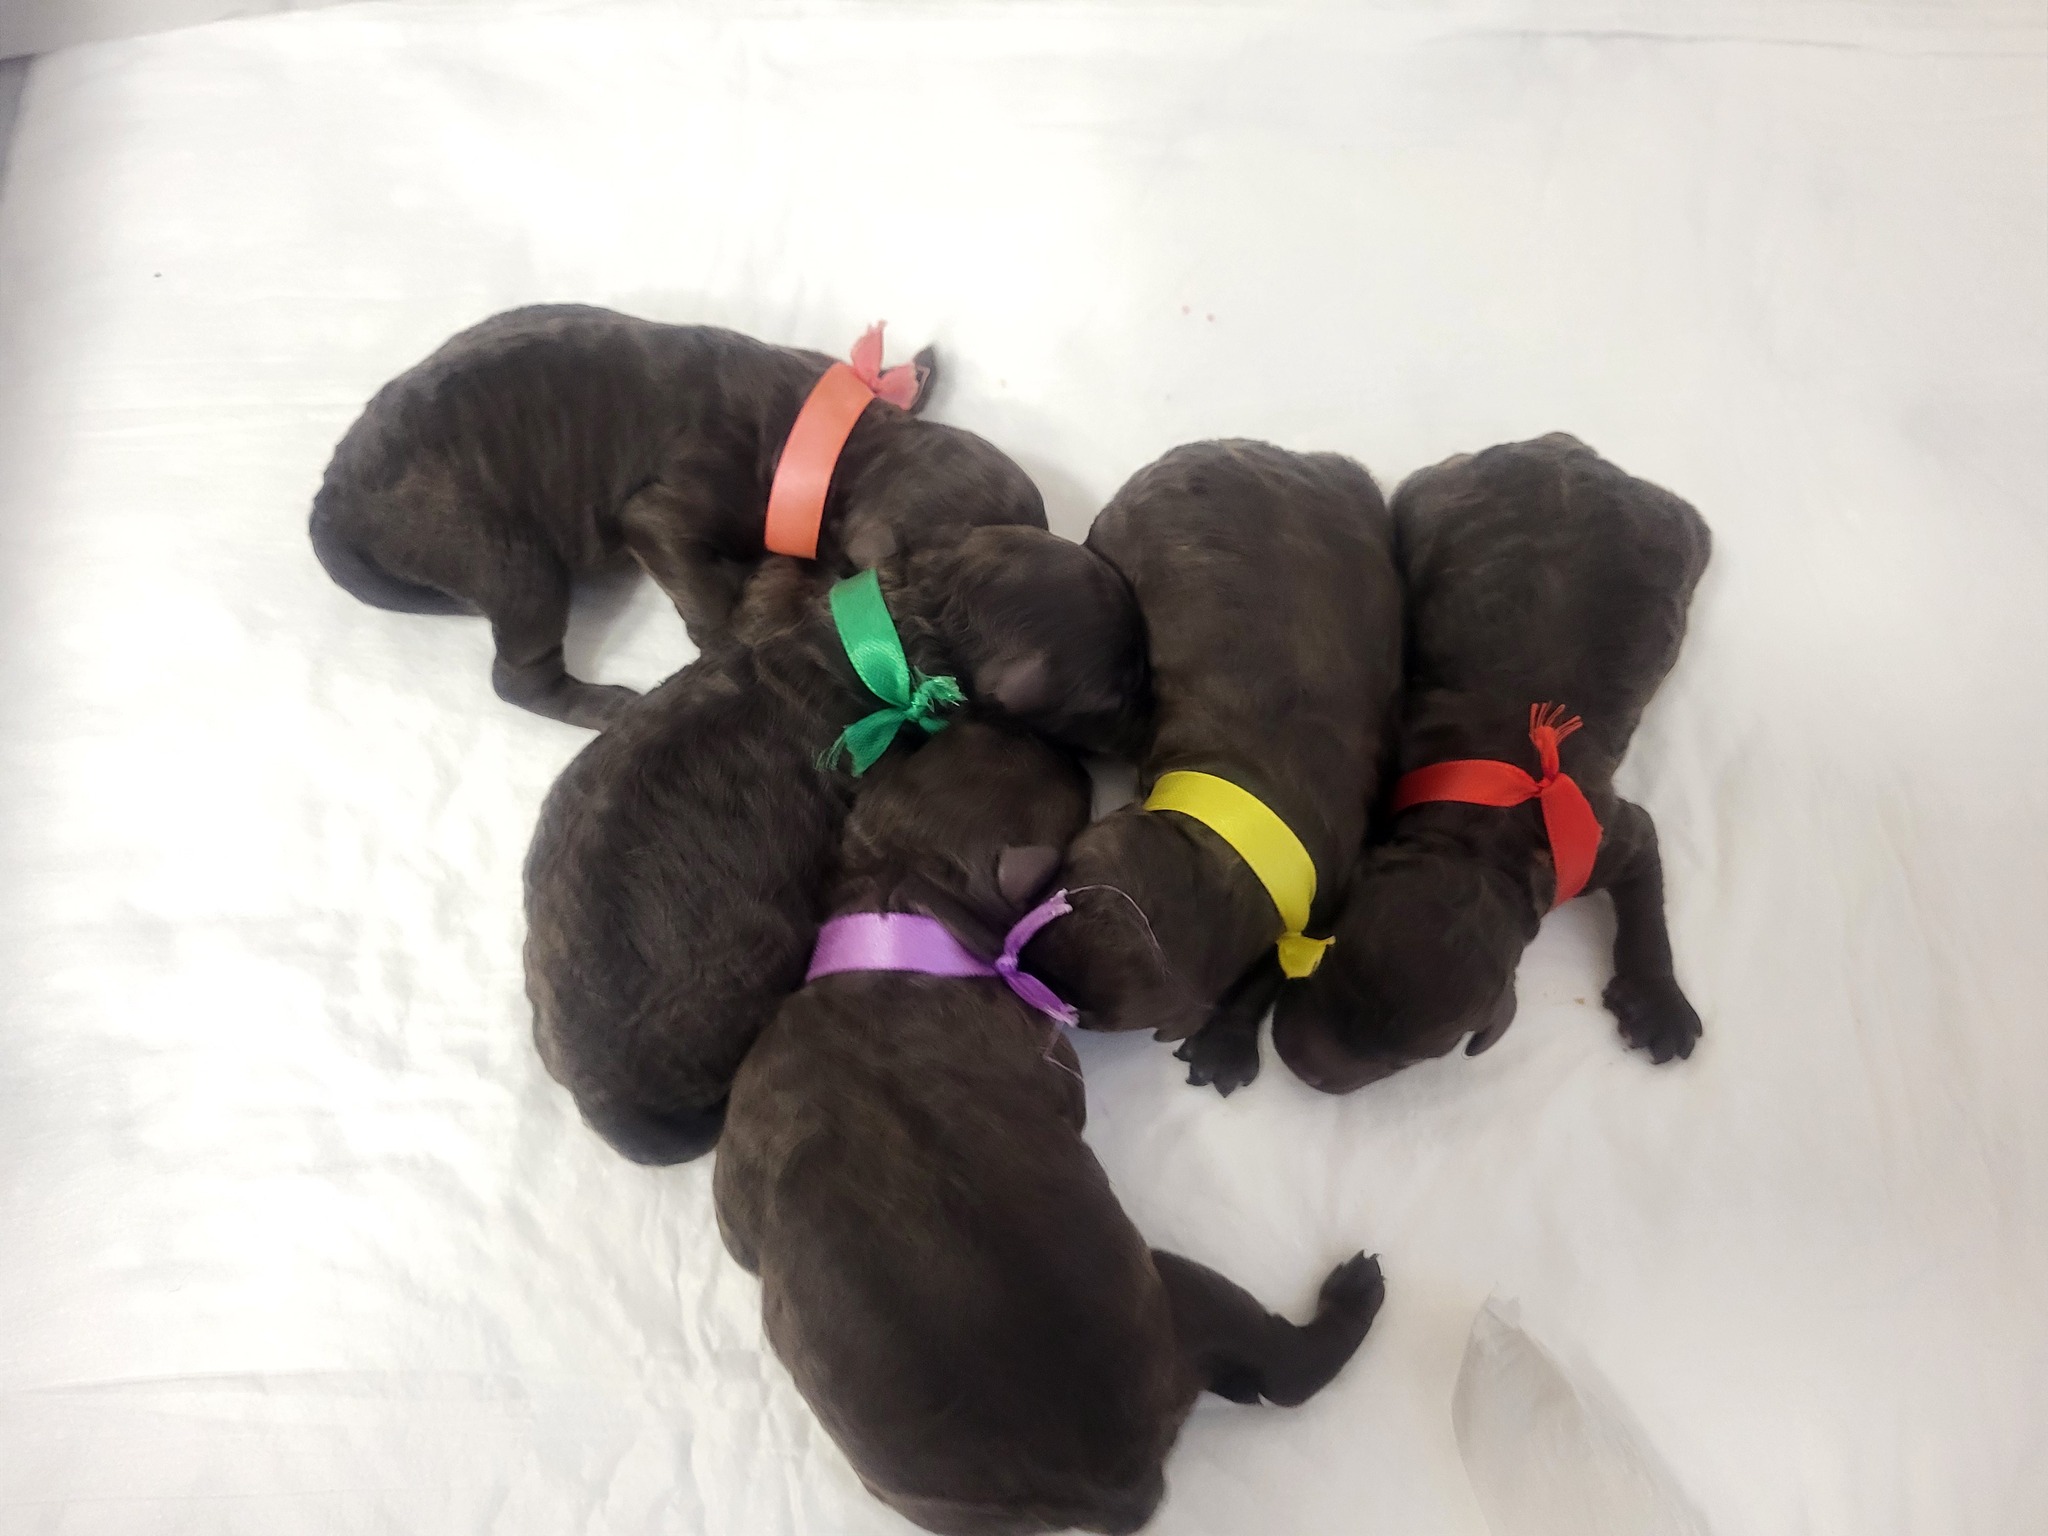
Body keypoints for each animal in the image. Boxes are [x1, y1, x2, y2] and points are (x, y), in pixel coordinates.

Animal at [310, 305, 1045, 727]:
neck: (836, 443)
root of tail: (331, 500)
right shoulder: (662, 513)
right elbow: (709, 602)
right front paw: (736, 652)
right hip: (505, 558)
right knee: (517, 676)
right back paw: (606, 706)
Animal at [714, 719, 1385, 1536]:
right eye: (1070, 798)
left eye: (935, 747)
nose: (1047, 737)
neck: (896, 909)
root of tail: (1119, 1489)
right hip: (1176, 1291)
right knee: (1284, 1370)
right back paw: (1354, 1296)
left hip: (943, 1508)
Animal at [1021, 440, 1403, 1094]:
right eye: (1056, 887)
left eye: (1084, 1016)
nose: (1016, 961)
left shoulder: (1325, 893)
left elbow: (1268, 972)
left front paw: (1224, 1044)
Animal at [1272, 433, 1712, 1094]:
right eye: (1324, 961)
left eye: (1410, 1060)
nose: (1302, 1069)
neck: (1477, 843)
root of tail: (1569, 448)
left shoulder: (1604, 840)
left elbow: (1646, 902)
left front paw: (1660, 1002)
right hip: (1439, 491)